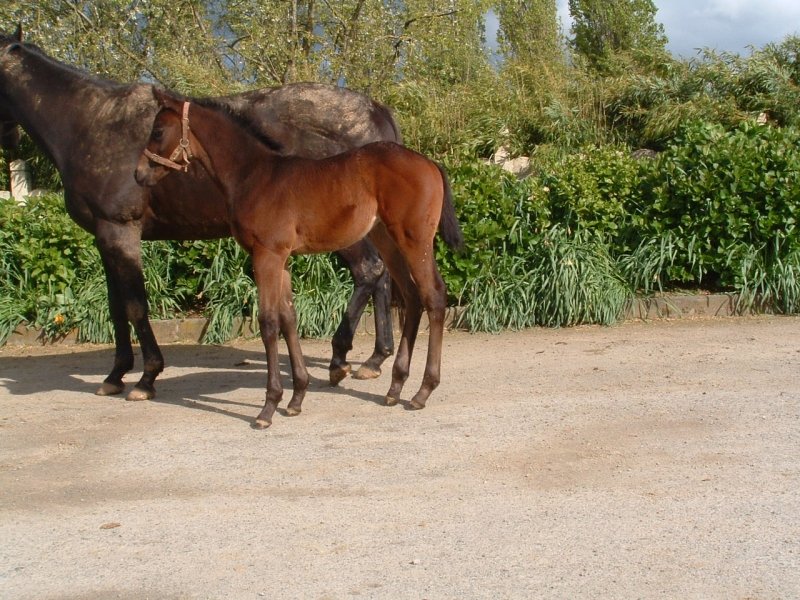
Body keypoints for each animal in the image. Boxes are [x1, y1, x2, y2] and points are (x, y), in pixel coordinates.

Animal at [0, 26, 398, 400]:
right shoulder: (104, 236)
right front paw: (116, 375)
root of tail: (376, 111)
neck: (92, 122)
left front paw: (146, 377)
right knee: (381, 275)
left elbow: (135, 306)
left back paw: (340, 357)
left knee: (369, 272)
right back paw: (375, 357)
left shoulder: (120, 231)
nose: (9, 143)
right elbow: (116, 307)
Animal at [135, 88, 464, 428]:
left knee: (433, 295)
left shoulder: (266, 255)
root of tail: (430, 163)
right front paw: (296, 398)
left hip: (414, 239)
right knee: (412, 297)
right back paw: (395, 387)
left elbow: (268, 322)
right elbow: (288, 319)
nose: (139, 173)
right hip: (387, 239)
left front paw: (268, 408)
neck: (254, 176)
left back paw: (423, 391)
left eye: (157, 131)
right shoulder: (281, 259)